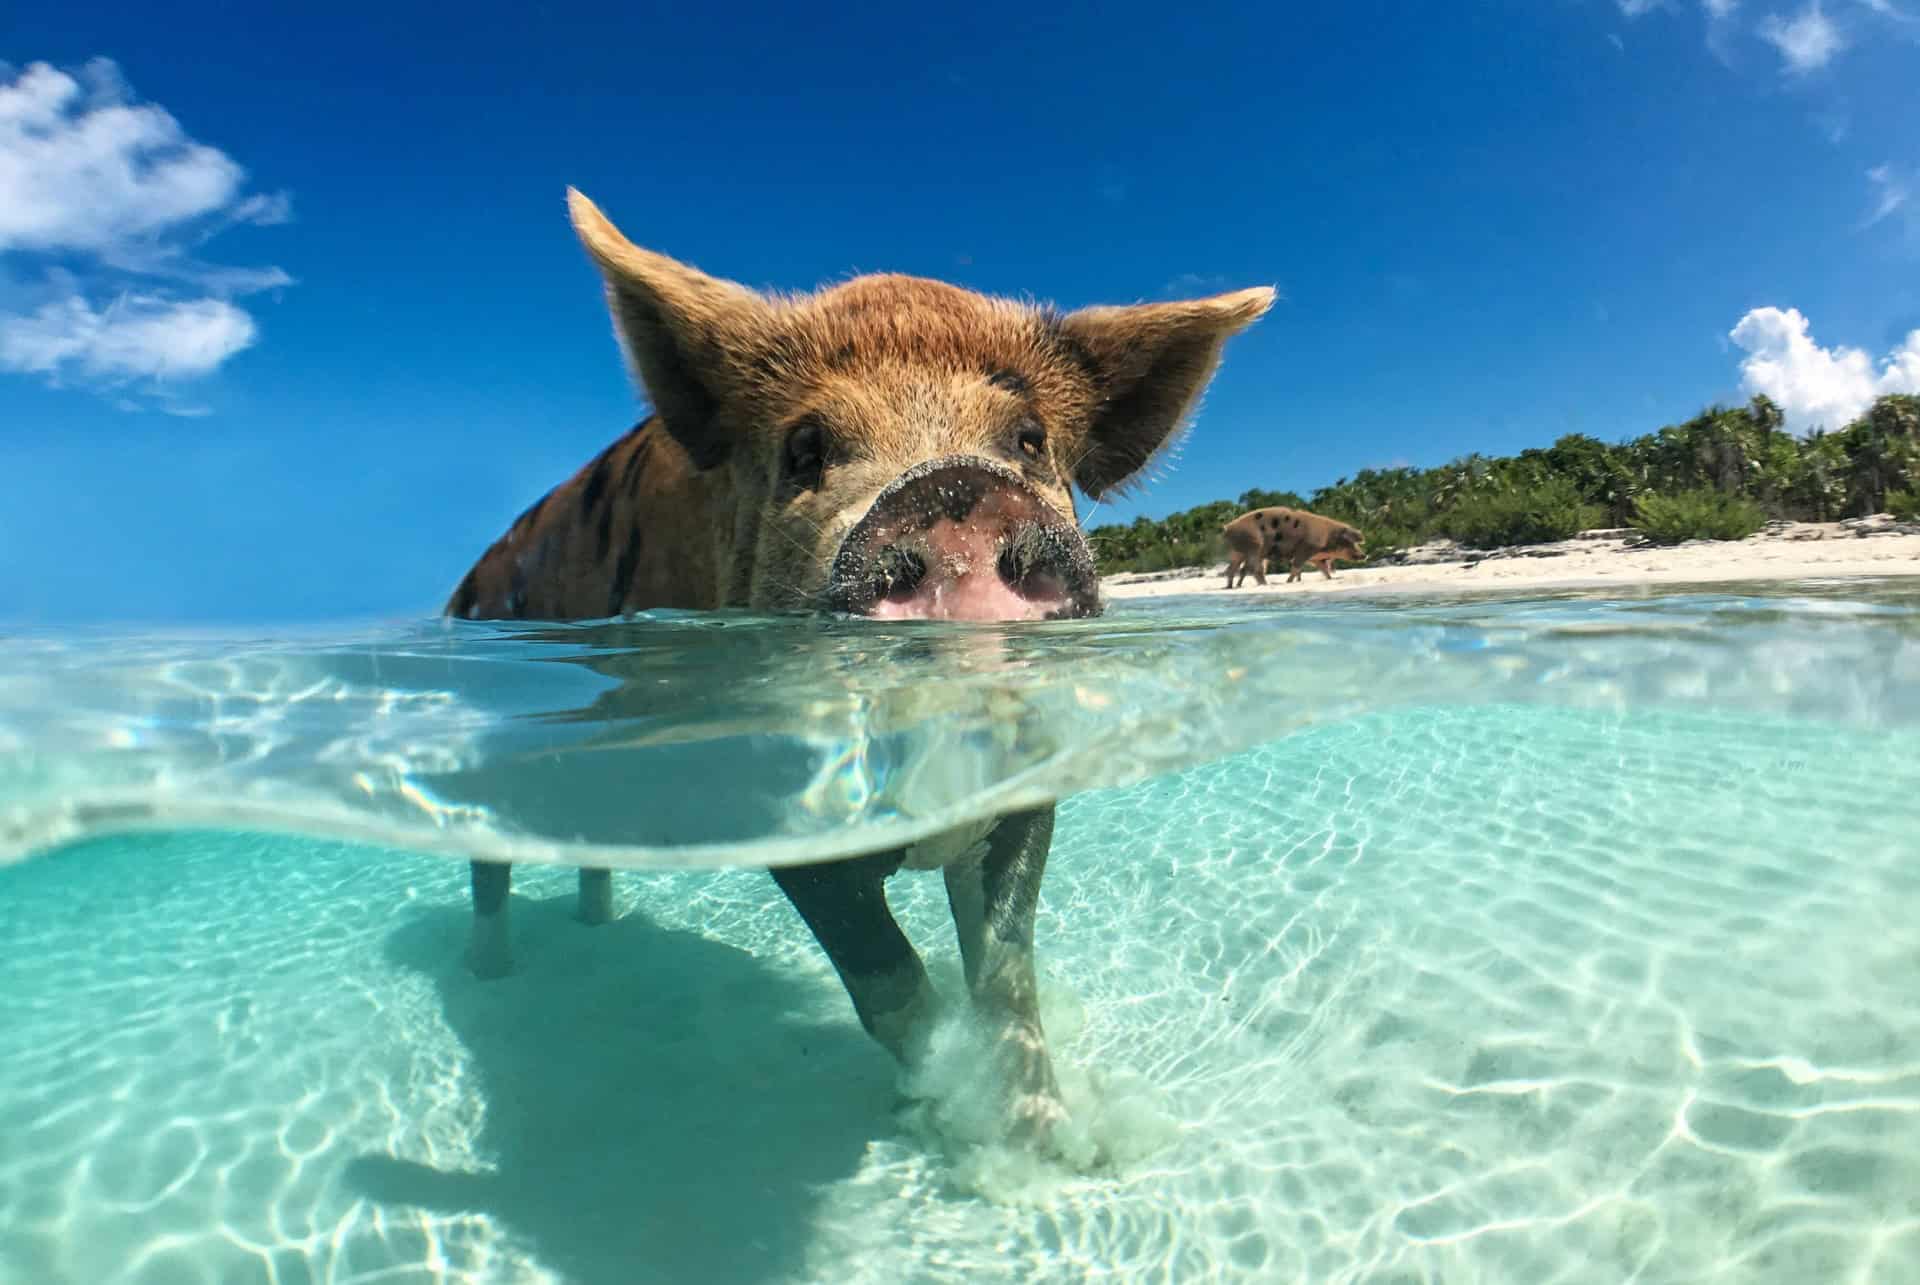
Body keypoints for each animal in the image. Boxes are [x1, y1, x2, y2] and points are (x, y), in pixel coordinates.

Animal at [444, 188, 1273, 1149]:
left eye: (1029, 439)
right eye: (805, 446)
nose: (953, 489)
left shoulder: (1029, 785)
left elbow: (1005, 977)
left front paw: (1054, 1148)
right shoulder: (774, 798)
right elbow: (888, 981)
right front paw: (948, 1120)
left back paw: (596, 927)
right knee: (487, 866)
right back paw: (489, 974)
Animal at [1222, 506, 1365, 588]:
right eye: (1349, 541)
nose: (1364, 555)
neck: (1327, 536)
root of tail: (1228, 527)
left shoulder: (1316, 557)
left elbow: (1324, 569)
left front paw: (1330, 579)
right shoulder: (1306, 548)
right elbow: (1296, 567)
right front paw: (1288, 582)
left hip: (1237, 552)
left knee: (1233, 569)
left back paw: (1231, 587)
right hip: (1254, 547)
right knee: (1253, 569)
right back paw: (1264, 585)